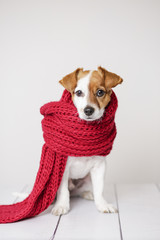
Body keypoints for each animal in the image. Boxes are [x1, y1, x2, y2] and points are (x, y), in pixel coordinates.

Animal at [51, 66, 122, 216]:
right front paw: (61, 206)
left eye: (100, 92)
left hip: (88, 179)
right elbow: (63, 191)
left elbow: (99, 189)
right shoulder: (63, 168)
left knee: (80, 191)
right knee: (67, 192)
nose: (88, 110)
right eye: (79, 92)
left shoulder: (99, 166)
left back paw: (89, 194)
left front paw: (102, 205)